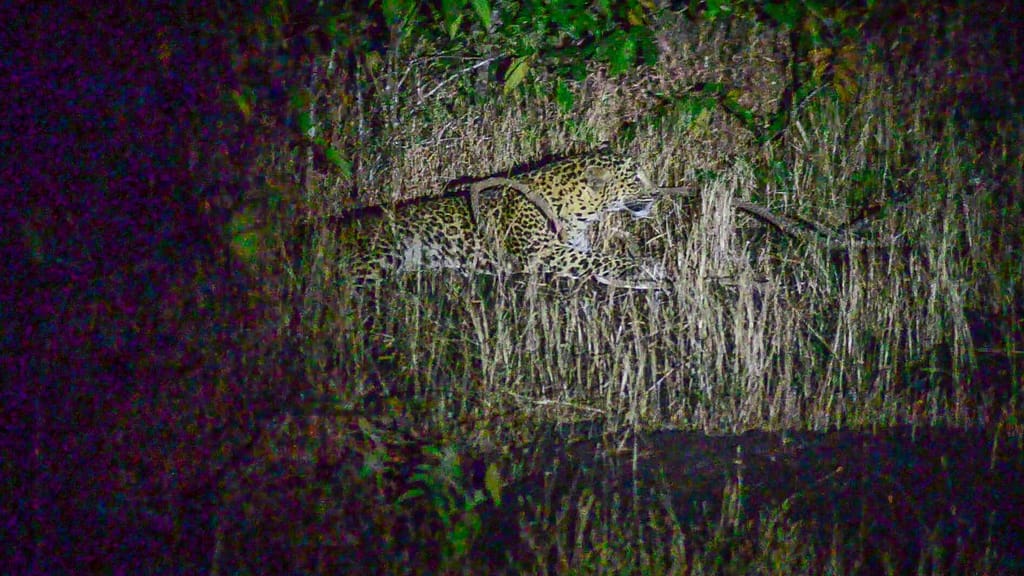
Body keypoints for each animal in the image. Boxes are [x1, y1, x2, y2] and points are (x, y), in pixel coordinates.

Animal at [335, 150, 667, 289]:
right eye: (635, 179)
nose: (657, 195)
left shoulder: (572, 250)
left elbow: (599, 264)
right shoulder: (544, 254)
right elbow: (602, 259)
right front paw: (648, 265)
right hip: (383, 256)